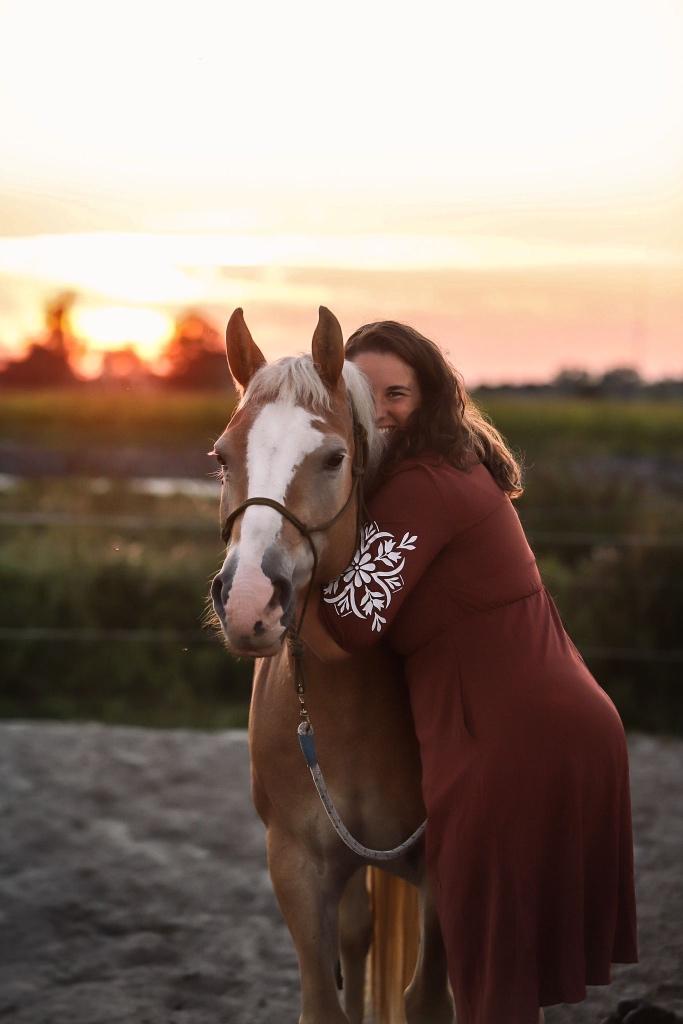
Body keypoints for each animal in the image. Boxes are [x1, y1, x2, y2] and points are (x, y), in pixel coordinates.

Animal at [210, 306, 454, 1024]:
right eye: (221, 457)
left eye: (333, 458)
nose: (248, 602)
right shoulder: (297, 865)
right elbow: (324, 1001)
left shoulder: (441, 875)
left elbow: (427, 997)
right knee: (357, 932)